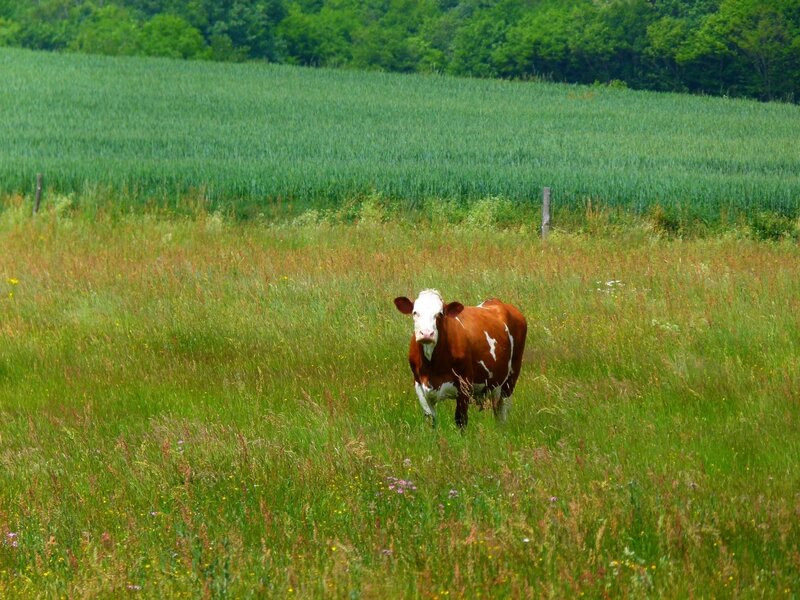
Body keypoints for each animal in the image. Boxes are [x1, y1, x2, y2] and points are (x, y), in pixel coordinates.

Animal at [394, 289, 527, 428]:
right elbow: (431, 420)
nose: (426, 333)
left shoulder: (465, 385)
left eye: (440, 314)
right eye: (415, 312)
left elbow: (461, 420)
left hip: (511, 377)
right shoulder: (419, 385)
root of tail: (497, 302)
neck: (432, 366)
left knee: (502, 410)